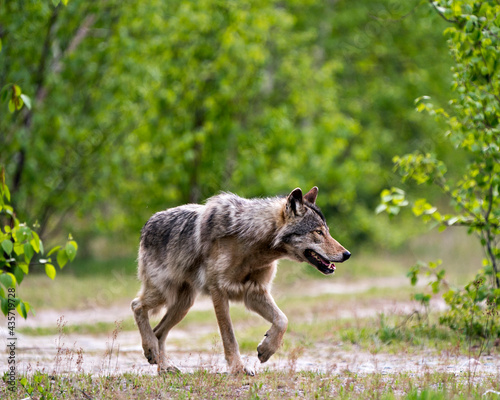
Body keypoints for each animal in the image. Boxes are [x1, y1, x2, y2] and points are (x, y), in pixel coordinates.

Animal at [133, 187, 352, 376]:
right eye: (318, 232)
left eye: (327, 231)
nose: (347, 254)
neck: (253, 244)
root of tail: (147, 224)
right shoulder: (219, 291)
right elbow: (229, 336)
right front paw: (238, 369)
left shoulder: (254, 292)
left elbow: (282, 320)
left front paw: (266, 349)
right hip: (164, 294)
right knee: (137, 306)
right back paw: (151, 349)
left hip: (183, 304)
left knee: (159, 332)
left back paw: (162, 366)